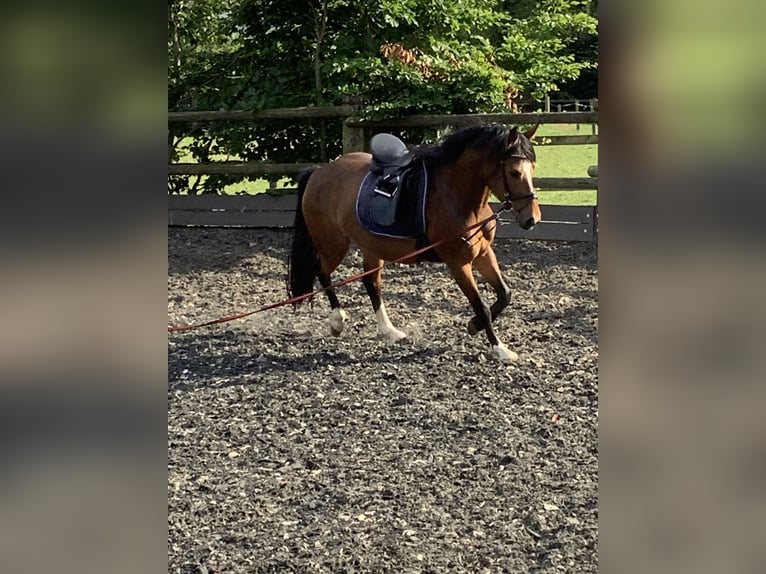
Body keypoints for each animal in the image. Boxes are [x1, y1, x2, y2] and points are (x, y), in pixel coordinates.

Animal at [286, 124, 540, 362]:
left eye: (533, 169)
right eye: (514, 172)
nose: (533, 219)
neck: (455, 196)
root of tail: (319, 171)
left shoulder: (483, 254)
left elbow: (505, 294)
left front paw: (473, 326)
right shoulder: (458, 263)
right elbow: (482, 306)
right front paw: (500, 349)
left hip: (371, 246)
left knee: (371, 283)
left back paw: (388, 330)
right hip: (333, 244)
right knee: (322, 271)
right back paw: (337, 321)